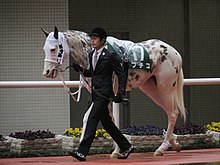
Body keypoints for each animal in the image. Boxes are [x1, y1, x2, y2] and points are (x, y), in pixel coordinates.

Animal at [41, 26, 186, 157]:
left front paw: (82, 150)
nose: (47, 72)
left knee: (173, 113)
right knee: (170, 112)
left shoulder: (104, 95)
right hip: (151, 89)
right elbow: (109, 119)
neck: (92, 51)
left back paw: (162, 147)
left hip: (166, 87)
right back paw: (174, 143)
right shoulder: (104, 96)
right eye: (44, 49)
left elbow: (90, 117)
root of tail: (175, 53)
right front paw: (117, 150)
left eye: (53, 49)